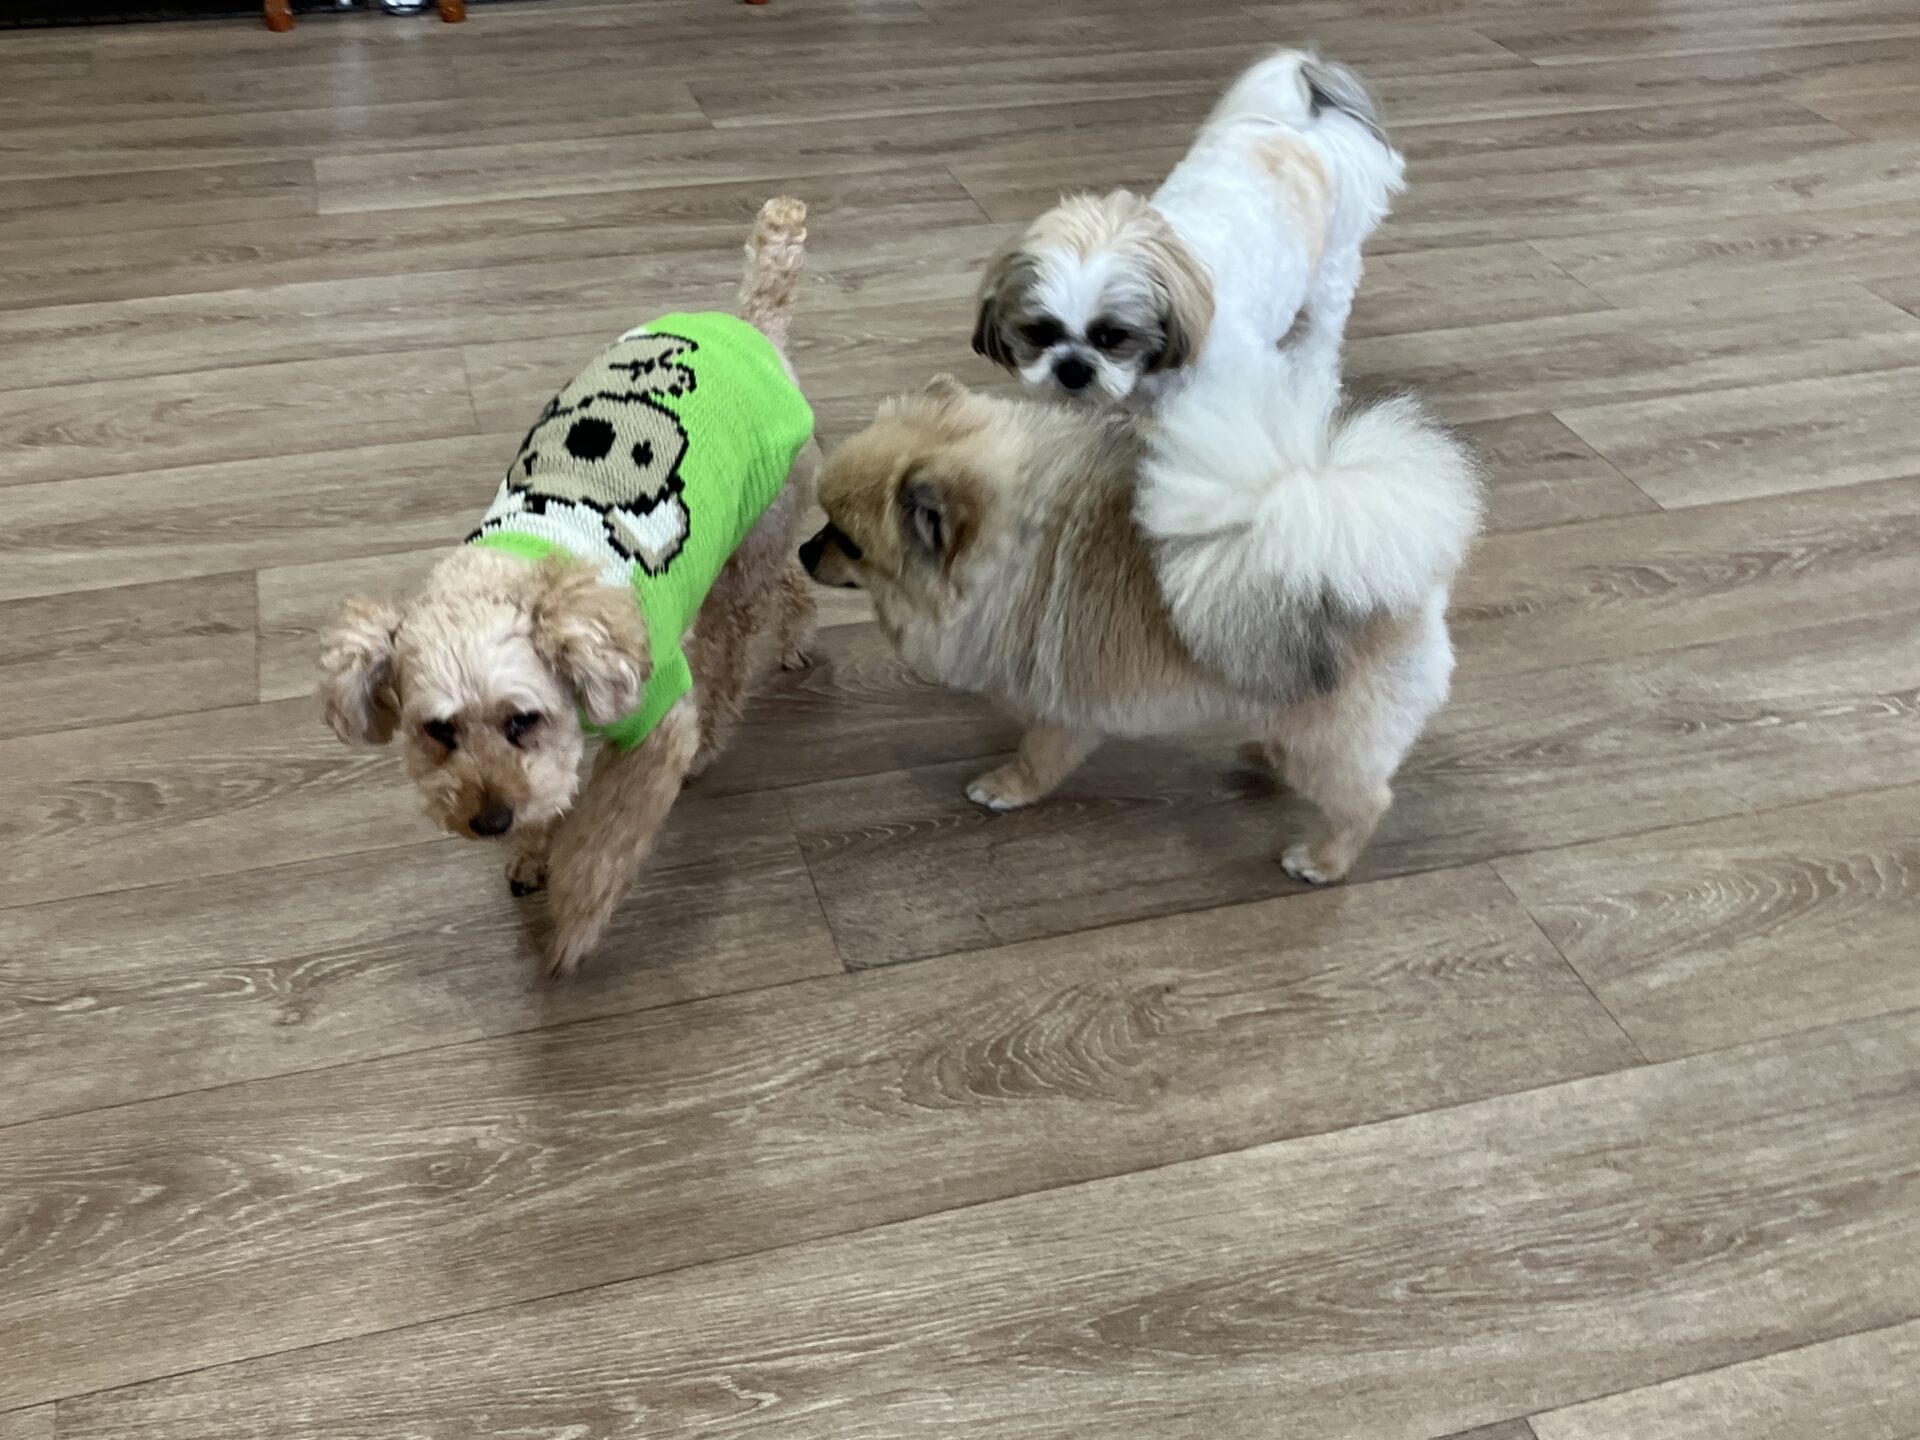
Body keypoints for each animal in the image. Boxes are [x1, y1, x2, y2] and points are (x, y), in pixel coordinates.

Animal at [319, 198, 820, 979]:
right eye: (438, 731)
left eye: (520, 719)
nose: (489, 820)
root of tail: (754, 322)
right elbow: (553, 796)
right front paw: (531, 851)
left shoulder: (654, 725)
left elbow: (605, 841)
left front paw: (574, 923)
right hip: (749, 538)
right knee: (791, 574)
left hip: (745, 551)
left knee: (733, 652)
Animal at [801, 329, 1480, 885]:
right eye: (823, 522)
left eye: (850, 544)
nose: (805, 552)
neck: (1013, 546)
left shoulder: (1062, 703)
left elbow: (1038, 754)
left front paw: (1007, 787)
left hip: (1327, 741)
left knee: (1365, 802)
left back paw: (1322, 860)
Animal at [971, 49, 1405, 410]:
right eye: (1039, 332)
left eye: (1113, 337)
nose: (1072, 369)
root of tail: (1300, 130)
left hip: (1331, 273)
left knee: (1320, 339)